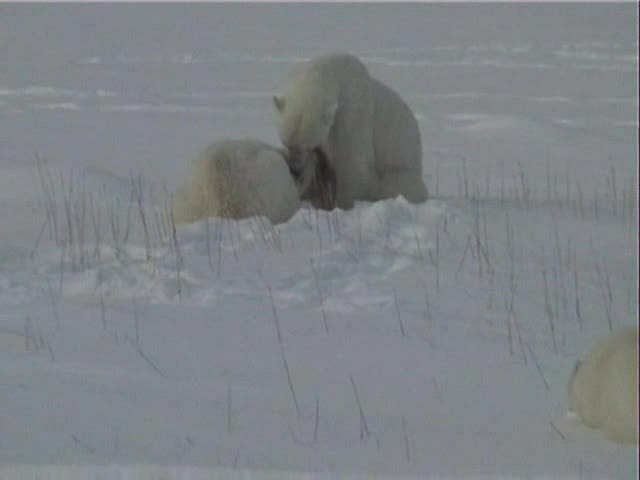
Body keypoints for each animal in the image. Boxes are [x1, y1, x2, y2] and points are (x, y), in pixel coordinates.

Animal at [272, 53, 428, 210]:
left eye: (309, 146)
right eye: (286, 142)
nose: (294, 169)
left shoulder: (353, 114)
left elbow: (353, 161)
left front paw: (342, 203)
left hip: (402, 174)